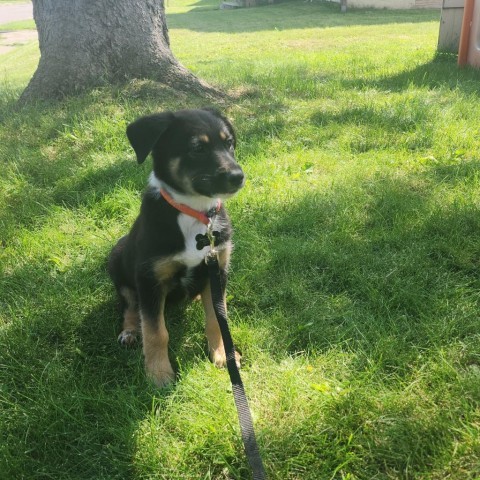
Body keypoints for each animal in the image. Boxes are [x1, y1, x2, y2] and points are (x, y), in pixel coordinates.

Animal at [108, 108, 244, 386]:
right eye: (197, 148)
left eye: (228, 143)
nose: (238, 177)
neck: (195, 212)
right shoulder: (149, 279)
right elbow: (155, 331)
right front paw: (159, 374)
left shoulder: (218, 269)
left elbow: (217, 319)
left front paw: (222, 355)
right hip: (117, 262)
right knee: (129, 306)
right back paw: (129, 331)